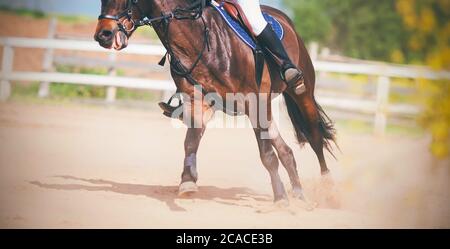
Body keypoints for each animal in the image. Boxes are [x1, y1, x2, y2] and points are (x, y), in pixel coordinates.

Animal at [94, 0, 334, 206]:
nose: (103, 35)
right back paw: (299, 193)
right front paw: (187, 182)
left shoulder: (253, 102)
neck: (199, 39)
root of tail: (286, 21)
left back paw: (326, 190)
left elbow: (266, 155)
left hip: (301, 94)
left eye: (127, 0)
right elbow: (190, 142)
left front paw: (280, 198)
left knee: (314, 137)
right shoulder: (197, 101)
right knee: (286, 150)